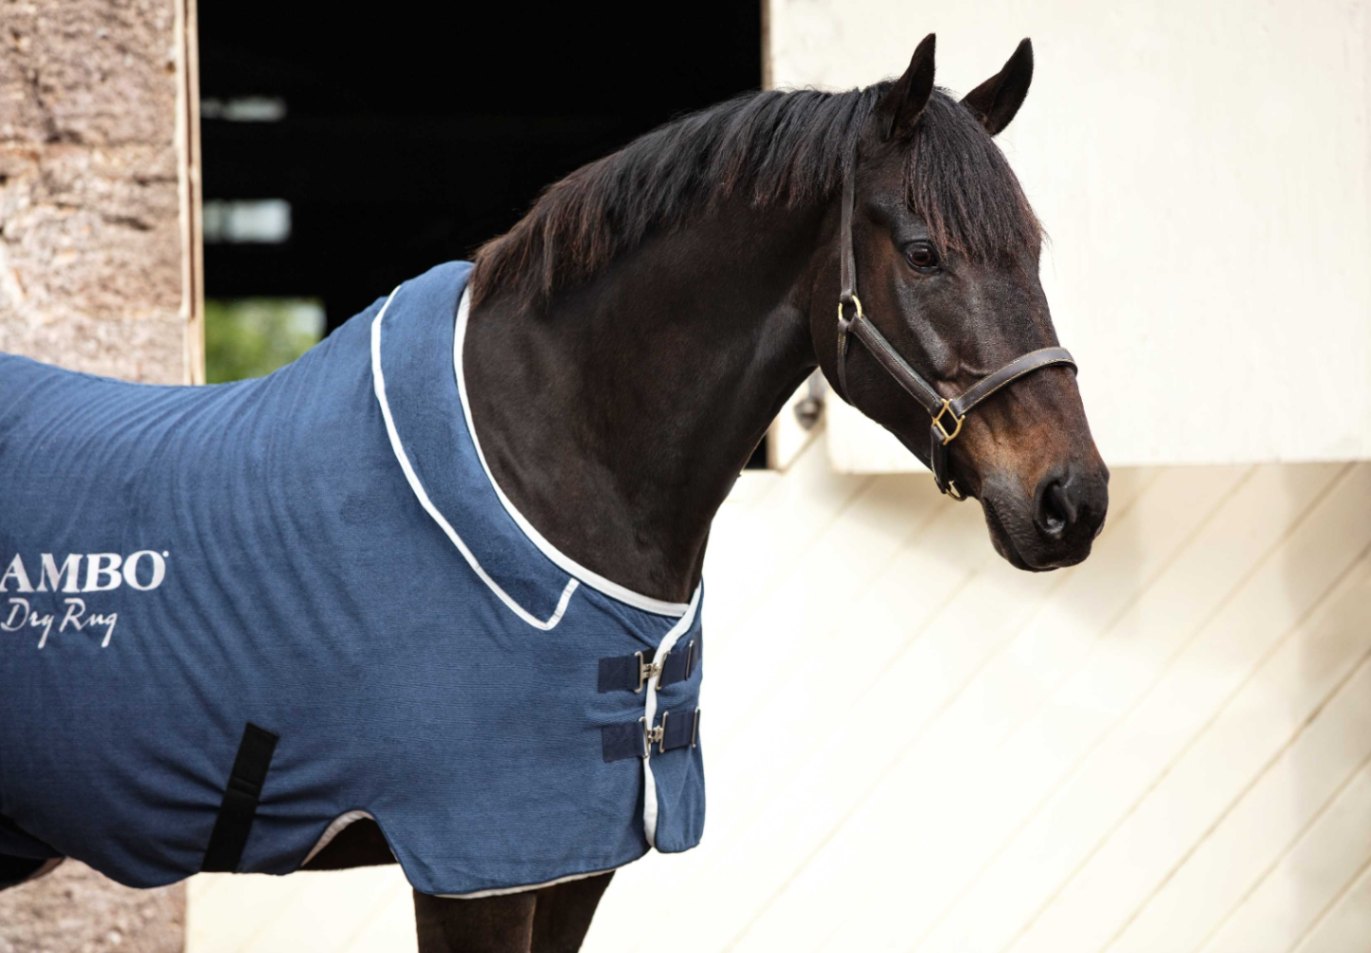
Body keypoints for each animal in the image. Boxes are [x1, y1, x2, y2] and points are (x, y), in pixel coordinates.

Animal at [0, 34, 1107, 953]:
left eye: (1032, 252)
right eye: (923, 253)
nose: (1073, 499)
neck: (548, 467)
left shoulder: (575, 863)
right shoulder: (478, 866)